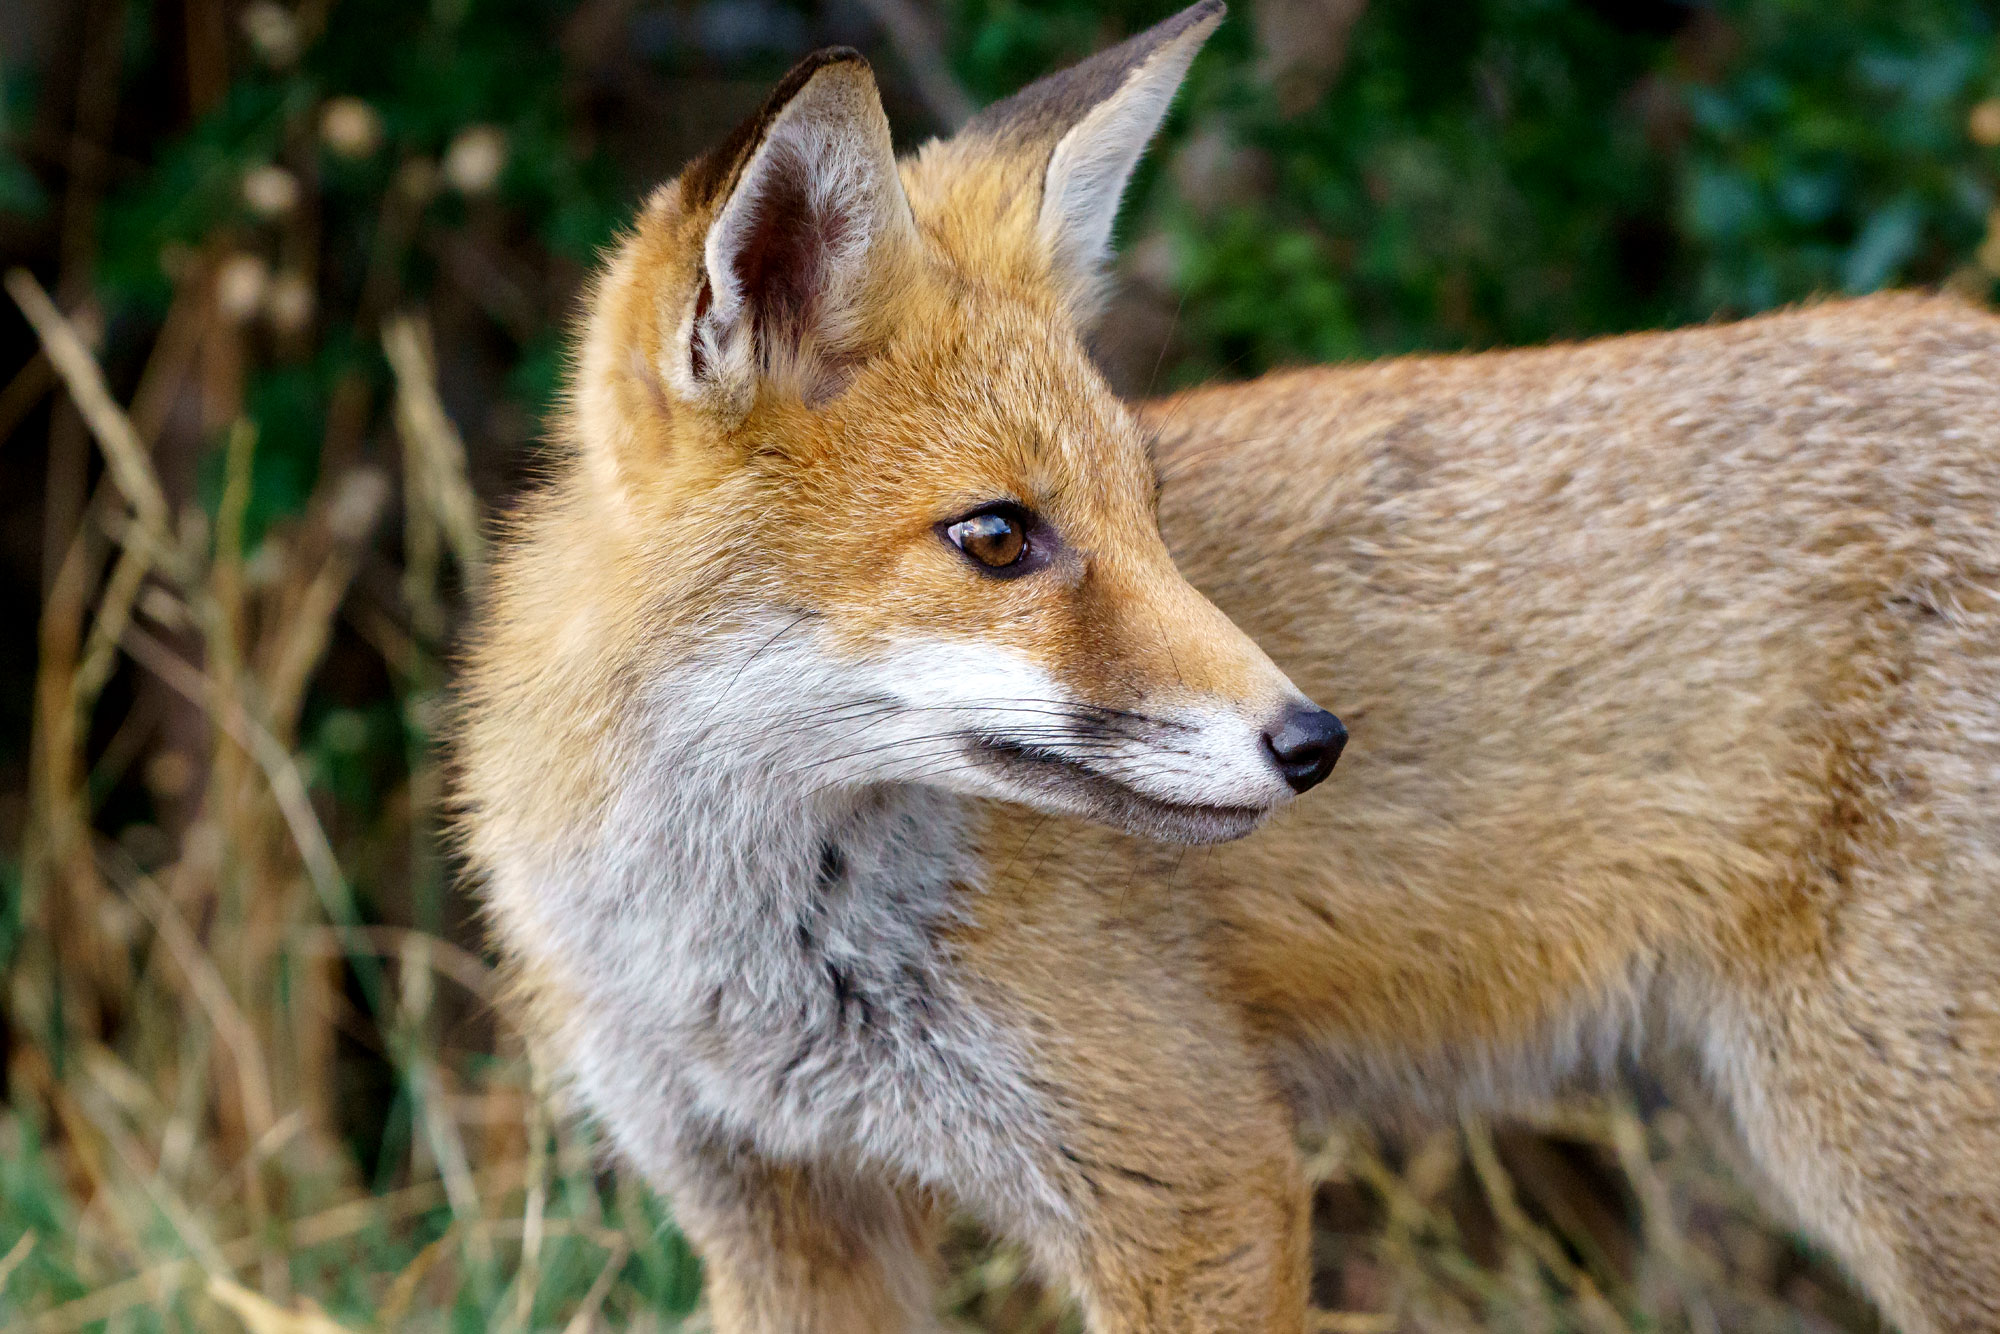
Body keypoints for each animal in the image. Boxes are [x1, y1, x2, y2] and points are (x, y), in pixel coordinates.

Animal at [460, 2, 2000, 1334]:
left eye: (1149, 506)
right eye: (998, 535)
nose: (1314, 741)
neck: (740, 944)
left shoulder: (1194, 1178)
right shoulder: (777, 1208)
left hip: (1881, 1148)